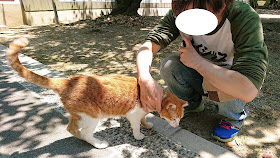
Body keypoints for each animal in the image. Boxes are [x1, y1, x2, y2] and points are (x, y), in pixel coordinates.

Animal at [6, 37, 188, 149]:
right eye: (174, 119)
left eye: (179, 119)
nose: (176, 125)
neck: (154, 96)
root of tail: (69, 80)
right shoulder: (133, 115)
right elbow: (136, 126)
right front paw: (138, 136)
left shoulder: (141, 113)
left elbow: (144, 119)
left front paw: (148, 124)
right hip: (92, 116)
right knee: (85, 133)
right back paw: (98, 143)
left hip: (80, 115)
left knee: (71, 129)